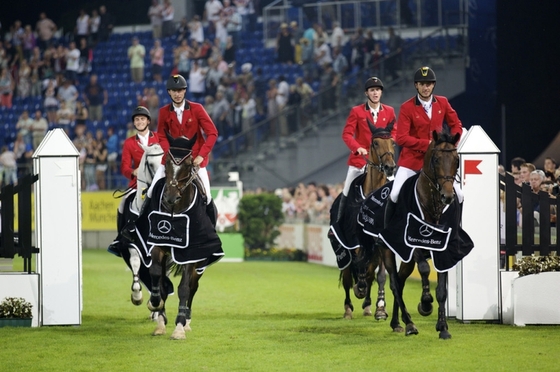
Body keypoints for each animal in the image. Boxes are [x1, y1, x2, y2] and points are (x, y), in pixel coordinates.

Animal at [140, 132, 223, 338]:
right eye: (168, 161)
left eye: (188, 163)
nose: (170, 197)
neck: (174, 211)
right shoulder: (158, 245)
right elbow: (157, 277)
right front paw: (156, 309)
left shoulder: (191, 252)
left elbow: (184, 288)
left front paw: (179, 326)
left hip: (201, 260)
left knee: (193, 286)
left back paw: (186, 321)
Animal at [328, 121, 398, 320]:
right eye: (375, 143)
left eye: (393, 142)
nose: (390, 167)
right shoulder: (354, 239)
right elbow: (358, 264)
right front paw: (358, 288)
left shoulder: (381, 241)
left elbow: (380, 276)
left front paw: (381, 308)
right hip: (342, 249)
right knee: (347, 276)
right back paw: (348, 308)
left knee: (370, 273)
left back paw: (367, 304)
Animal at [376, 128, 472, 340]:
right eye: (436, 159)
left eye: (457, 160)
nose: (447, 196)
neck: (433, 205)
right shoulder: (415, 243)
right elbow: (425, 269)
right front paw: (425, 303)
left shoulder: (444, 249)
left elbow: (443, 289)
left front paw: (443, 327)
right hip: (387, 250)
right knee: (394, 283)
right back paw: (409, 324)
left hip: (406, 259)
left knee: (401, 281)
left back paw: (397, 323)